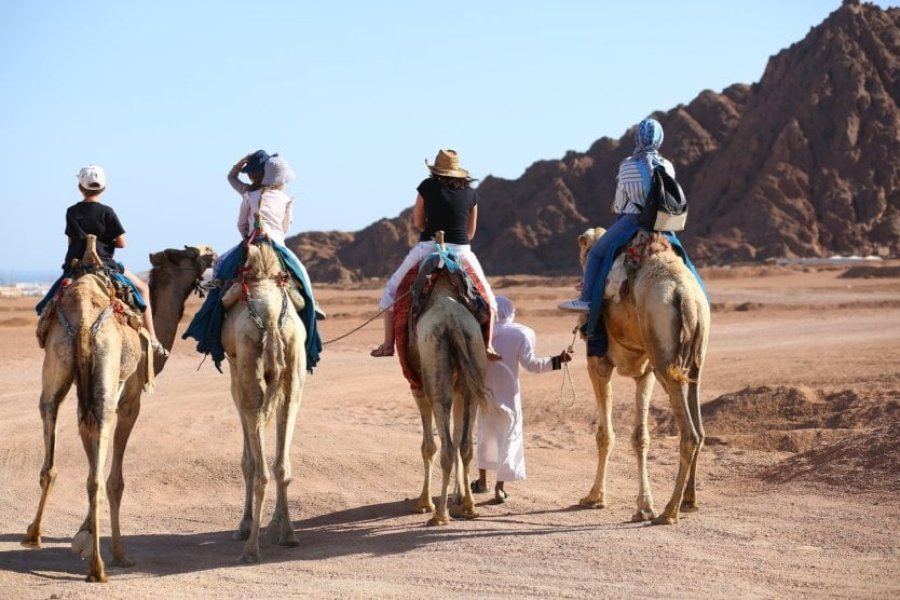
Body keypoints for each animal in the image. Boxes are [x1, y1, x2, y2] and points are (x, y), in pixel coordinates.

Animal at [22, 238, 215, 580]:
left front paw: (83, 534)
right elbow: (114, 480)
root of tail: (84, 315)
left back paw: (33, 534)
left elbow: (90, 465)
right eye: (189, 252)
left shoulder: (83, 404)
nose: (212, 252)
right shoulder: (130, 402)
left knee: (50, 433)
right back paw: (102, 565)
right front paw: (110, 549)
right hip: (107, 380)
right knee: (103, 479)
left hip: (58, 369)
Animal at [220, 240, 308, 564]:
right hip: (293, 372)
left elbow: (247, 461)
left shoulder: (235, 378)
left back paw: (250, 548)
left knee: (260, 470)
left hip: (249, 375)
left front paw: (243, 526)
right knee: (281, 464)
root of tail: (270, 317)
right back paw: (288, 534)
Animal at [402, 237, 488, 524]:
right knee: (465, 446)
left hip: (435, 378)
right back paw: (469, 506)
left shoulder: (418, 387)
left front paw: (423, 502)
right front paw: (460, 496)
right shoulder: (462, 385)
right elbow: (461, 438)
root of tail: (451, 320)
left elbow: (427, 446)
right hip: (472, 365)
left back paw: (439, 514)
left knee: (446, 448)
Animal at [576, 227, 712, 524]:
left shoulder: (598, 363)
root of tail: (686, 297)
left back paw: (669, 510)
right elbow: (640, 437)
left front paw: (594, 497)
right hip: (692, 359)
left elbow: (605, 435)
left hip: (664, 356)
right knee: (699, 428)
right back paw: (689, 500)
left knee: (689, 434)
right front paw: (643, 506)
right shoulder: (645, 373)